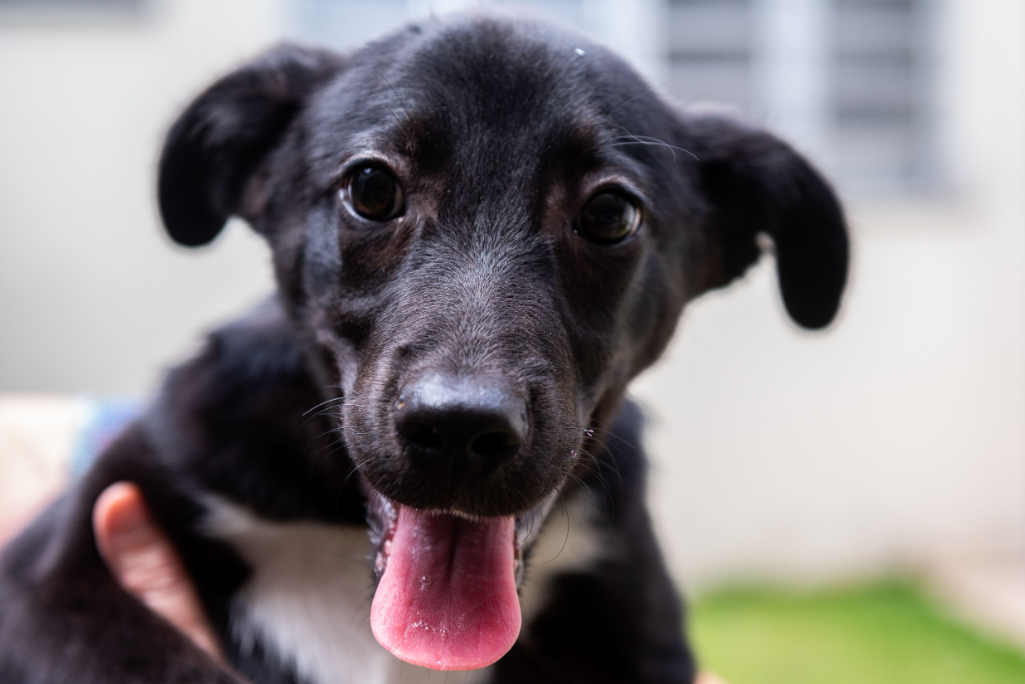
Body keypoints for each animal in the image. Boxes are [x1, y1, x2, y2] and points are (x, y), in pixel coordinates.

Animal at [0, 12, 848, 684]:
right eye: (372, 189)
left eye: (611, 213)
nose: (458, 430)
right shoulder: (51, 570)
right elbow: (160, 664)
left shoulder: (639, 627)